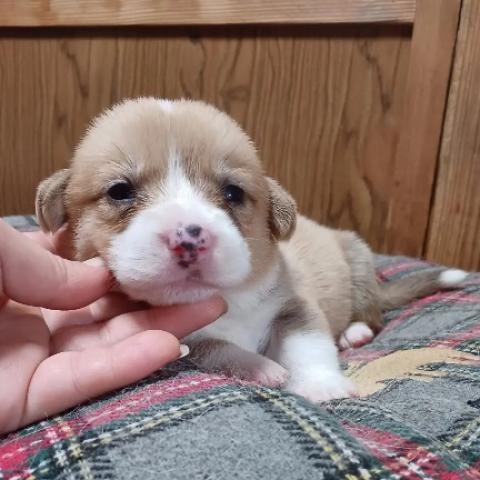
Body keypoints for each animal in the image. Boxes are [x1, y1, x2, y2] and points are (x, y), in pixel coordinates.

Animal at [35, 98, 467, 401]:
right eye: (120, 191)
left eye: (233, 193)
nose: (189, 237)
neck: (230, 299)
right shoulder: (191, 343)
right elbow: (222, 349)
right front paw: (264, 369)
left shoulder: (294, 306)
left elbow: (309, 346)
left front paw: (323, 387)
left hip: (358, 258)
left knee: (371, 312)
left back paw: (355, 332)